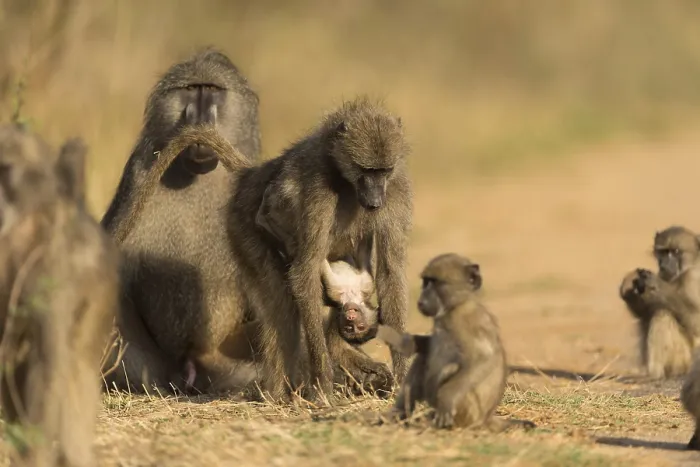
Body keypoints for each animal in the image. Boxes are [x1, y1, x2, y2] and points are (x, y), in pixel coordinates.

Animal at [374, 253, 533, 431]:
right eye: (426, 282)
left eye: (436, 282)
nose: (421, 301)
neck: (457, 306)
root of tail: (486, 419)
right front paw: (402, 341)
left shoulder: (466, 323)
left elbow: (483, 359)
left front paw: (446, 400)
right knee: (424, 358)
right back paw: (400, 414)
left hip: (468, 414)